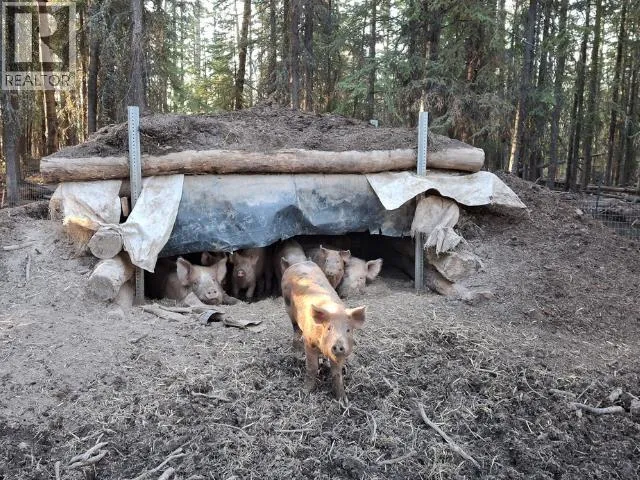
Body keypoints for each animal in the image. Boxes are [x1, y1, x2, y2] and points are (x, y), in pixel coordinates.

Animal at [281, 259, 366, 401]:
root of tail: (298, 263)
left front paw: (343, 401)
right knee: (296, 330)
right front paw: (305, 392)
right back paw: (297, 354)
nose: (338, 345)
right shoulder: (309, 342)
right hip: (288, 308)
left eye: (348, 330)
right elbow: (312, 367)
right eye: (329, 328)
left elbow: (337, 374)